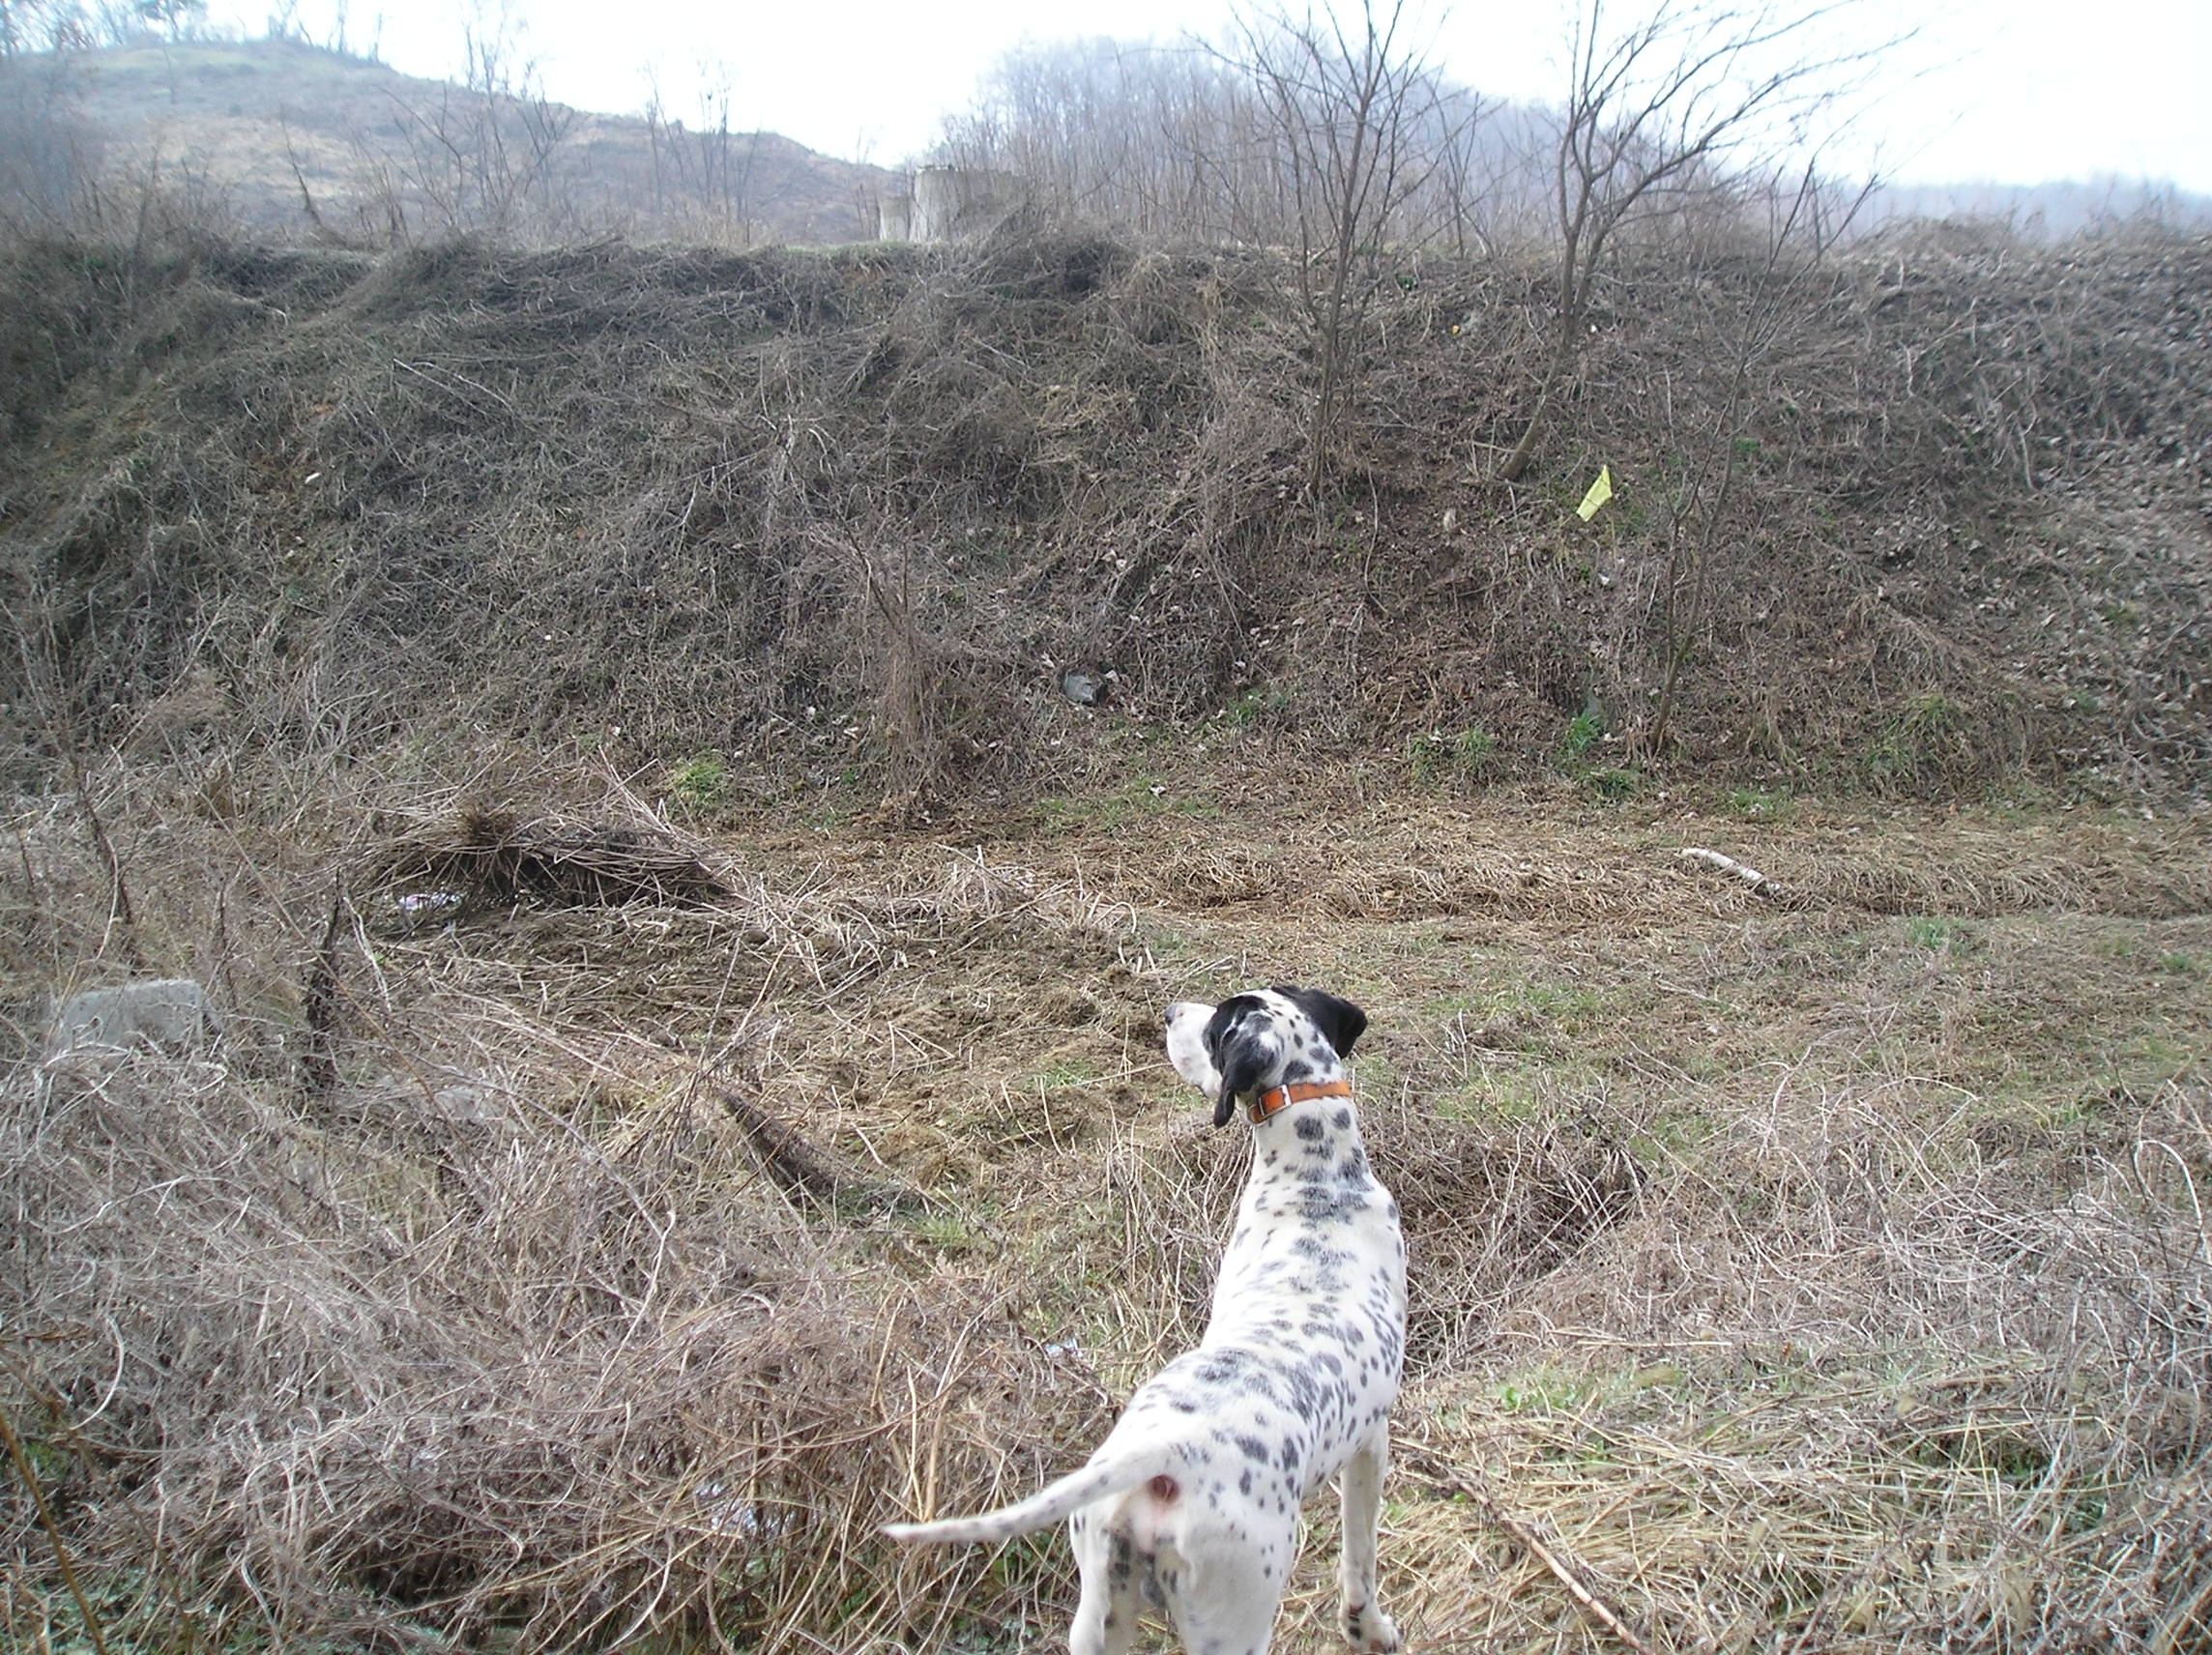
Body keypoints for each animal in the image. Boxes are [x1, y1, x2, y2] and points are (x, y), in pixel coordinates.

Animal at [885, 986, 1406, 1655]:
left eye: (1213, 1030)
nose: (1170, 1012)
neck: (1319, 1186)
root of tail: (1164, 1455)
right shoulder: (1372, 1444)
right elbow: (1359, 1556)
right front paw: (1368, 1627)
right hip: (1236, 1620)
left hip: (1099, 1613)